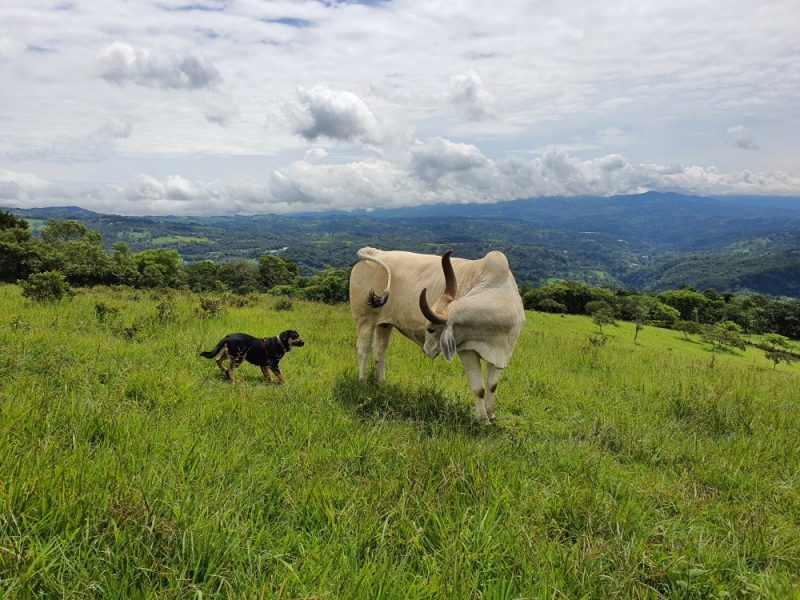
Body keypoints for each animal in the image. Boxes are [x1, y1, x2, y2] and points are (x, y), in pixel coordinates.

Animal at [348, 246, 524, 424]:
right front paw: (483, 420)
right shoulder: (467, 351)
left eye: (431, 329)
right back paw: (362, 383)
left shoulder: (500, 353)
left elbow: (492, 386)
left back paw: (381, 383)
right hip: (364, 321)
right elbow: (479, 389)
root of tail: (376, 252)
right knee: (363, 350)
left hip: (384, 325)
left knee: (380, 352)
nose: (426, 350)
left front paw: (491, 415)